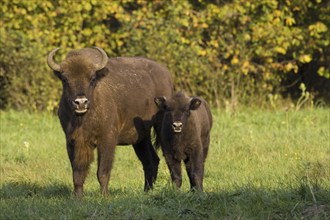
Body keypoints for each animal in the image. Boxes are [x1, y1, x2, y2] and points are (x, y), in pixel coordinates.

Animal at [48, 47, 175, 197]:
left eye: (92, 78)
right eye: (64, 79)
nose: (81, 102)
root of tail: (167, 75)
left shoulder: (107, 140)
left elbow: (102, 172)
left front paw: (105, 196)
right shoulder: (73, 141)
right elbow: (78, 173)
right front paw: (78, 197)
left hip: (161, 128)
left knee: (169, 158)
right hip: (141, 137)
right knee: (150, 161)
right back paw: (146, 192)